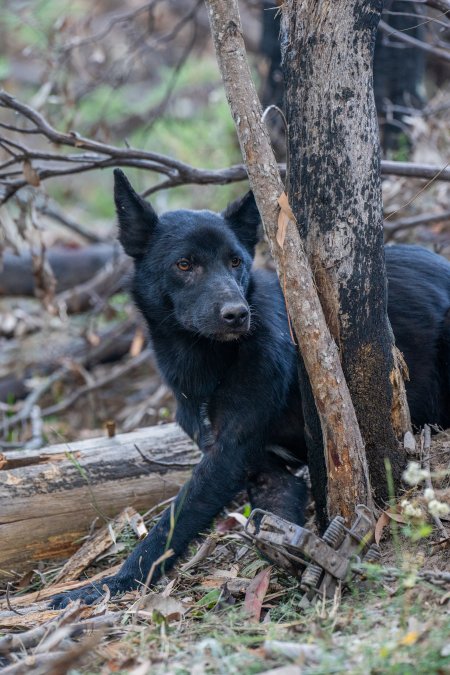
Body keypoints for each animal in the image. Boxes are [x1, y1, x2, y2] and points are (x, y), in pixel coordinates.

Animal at [50, 169, 450, 608]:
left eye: (236, 261)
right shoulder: (262, 469)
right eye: (184, 264)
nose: (237, 314)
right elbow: (271, 522)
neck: (207, 362)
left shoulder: (227, 454)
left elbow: (171, 524)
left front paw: (108, 584)